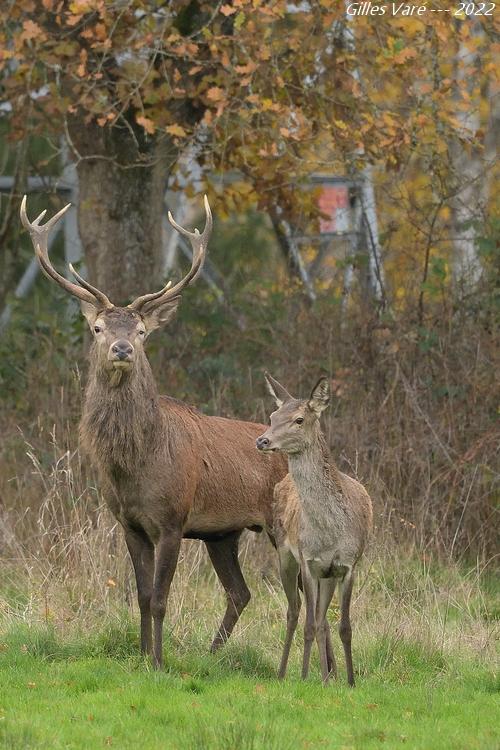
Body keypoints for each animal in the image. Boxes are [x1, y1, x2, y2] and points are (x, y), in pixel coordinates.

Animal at [20, 198, 286, 668]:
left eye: (142, 331)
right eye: (98, 328)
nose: (123, 349)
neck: (135, 466)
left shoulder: (172, 520)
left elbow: (161, 599)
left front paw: (160, 662)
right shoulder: (130, 524)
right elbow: (142, 597)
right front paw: (143, 656)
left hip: (284, 521)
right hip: (223, 534)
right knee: (241, 593)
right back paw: (211, 656)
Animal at [258, 376, 372, 688]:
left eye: (299, 419)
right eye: (272, 416)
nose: (262, 440)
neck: (331, 532)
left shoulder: (347, 565)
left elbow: (343, 626)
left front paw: (349, 681)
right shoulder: (308, 561)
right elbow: (308, 623)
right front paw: (305, 675)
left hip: (326, 576)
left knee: (322, 620)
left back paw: (326, 677)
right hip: (285, 555)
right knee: (295, 612)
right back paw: (285, 673)